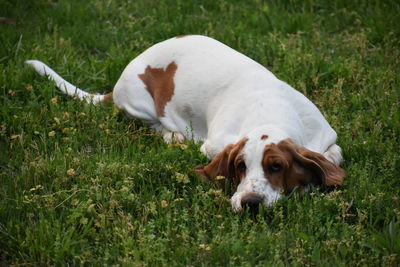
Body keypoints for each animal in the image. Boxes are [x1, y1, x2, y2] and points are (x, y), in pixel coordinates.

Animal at [25, 34, 344, 213]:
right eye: (240, 166)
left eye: (277, 166)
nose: (250, 203)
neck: (269, 111)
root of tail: (116, 84)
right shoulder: (214, 145)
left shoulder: (326, 137)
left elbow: (333, 156)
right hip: (138, 102)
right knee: (152, 125)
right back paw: (174, 136)